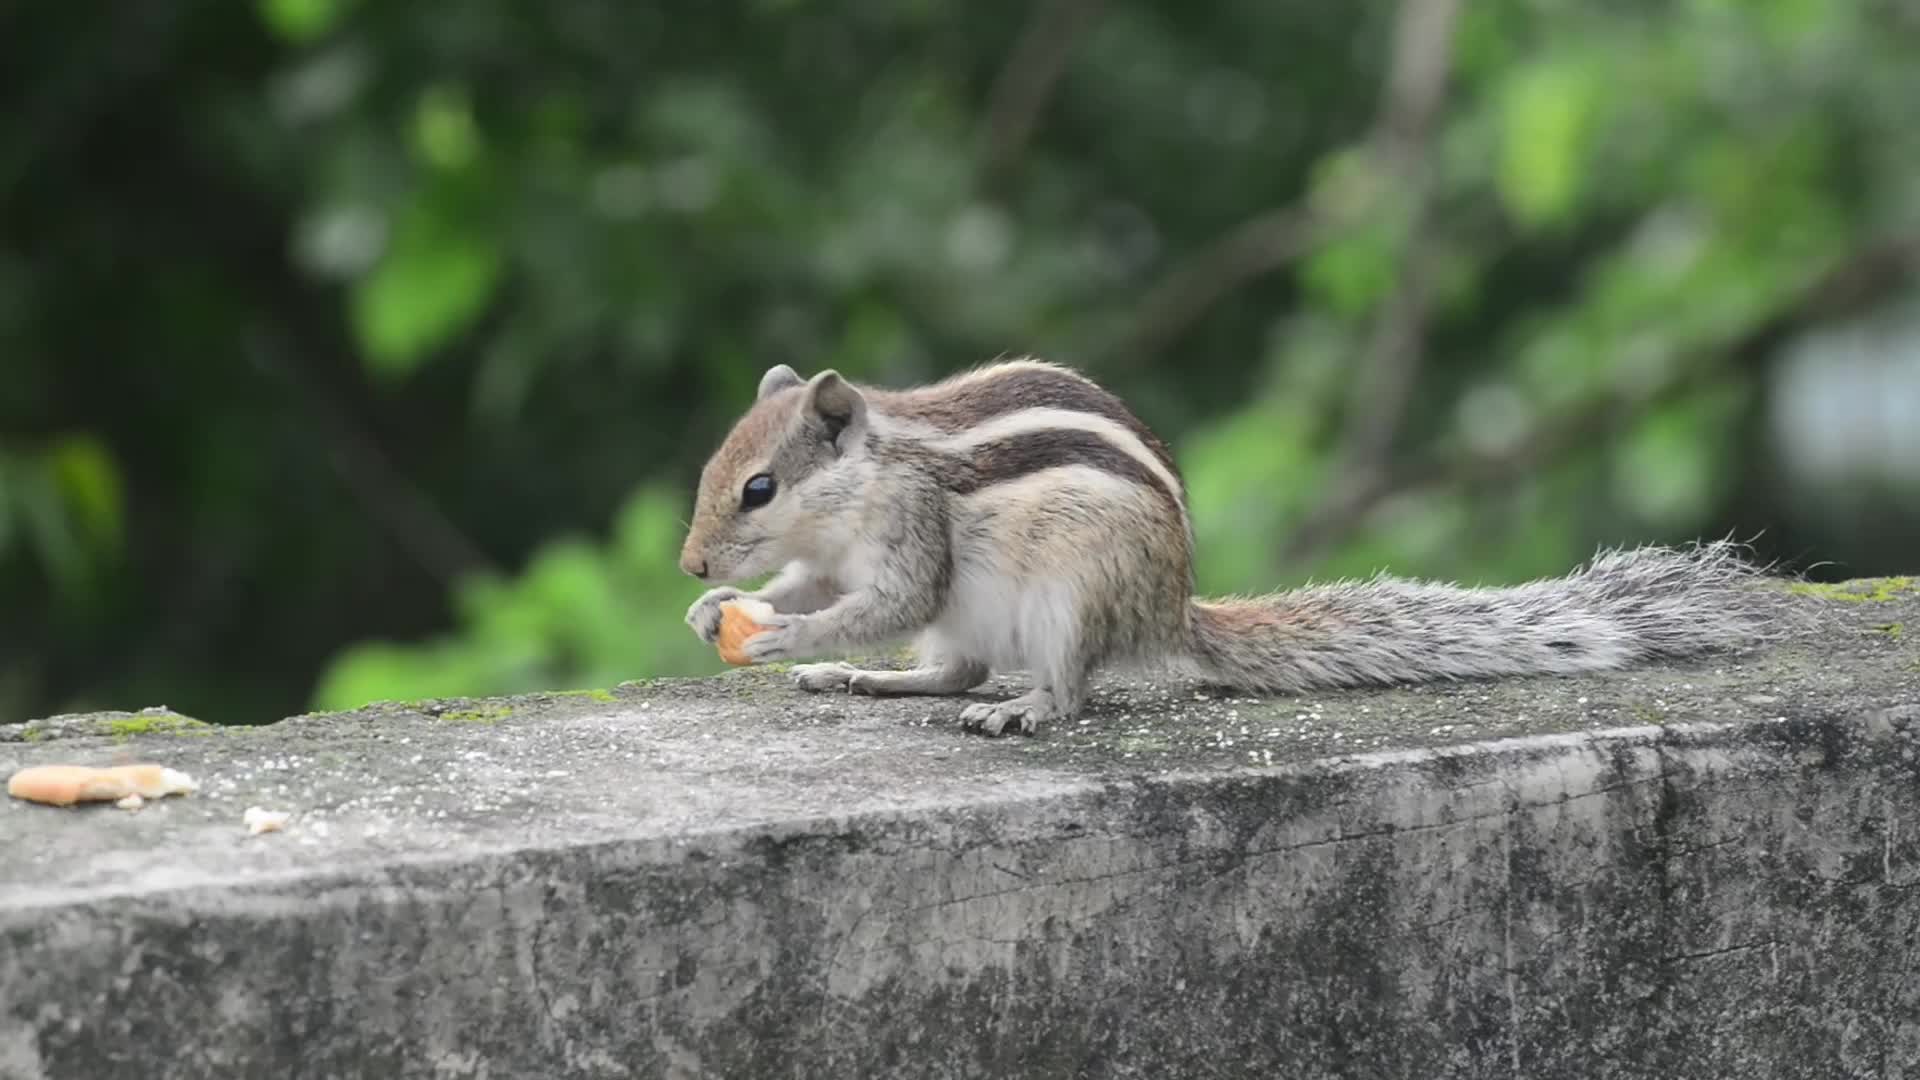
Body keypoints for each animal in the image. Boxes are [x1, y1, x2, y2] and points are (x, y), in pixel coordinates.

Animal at [678, 358, 1789, 737]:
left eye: (759, 487)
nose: (690, 564)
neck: (861, 483)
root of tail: (1172, 609)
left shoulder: (912, 533)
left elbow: (886, 602)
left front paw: (778, 636)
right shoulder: (834, 558)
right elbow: (812, 587)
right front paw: (721, 615)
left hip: (1071, 596)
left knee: (1058, 687)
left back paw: (1025, 707)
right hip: (983, 620)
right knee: (951, 670)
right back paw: (870, 681)